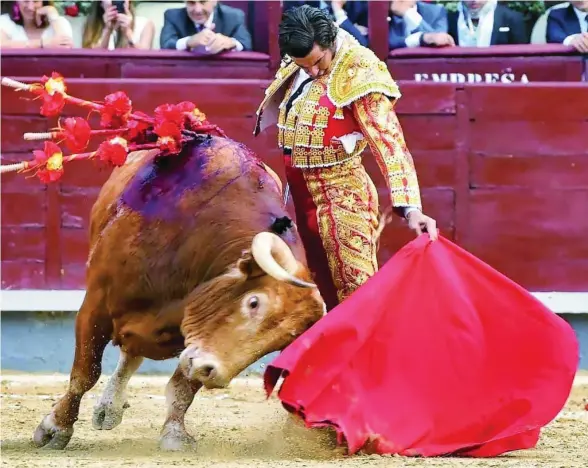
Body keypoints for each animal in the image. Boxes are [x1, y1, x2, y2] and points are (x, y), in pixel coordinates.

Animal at [32, 134, 326, 450]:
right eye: (254, 302)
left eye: (281, 342)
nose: (213, 374)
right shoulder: (95, 306)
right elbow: (85, 373)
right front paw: (55, 428)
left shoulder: (196, 337)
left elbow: (182, 387)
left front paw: (175, 434)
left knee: (132, 353)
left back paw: (109, 408)